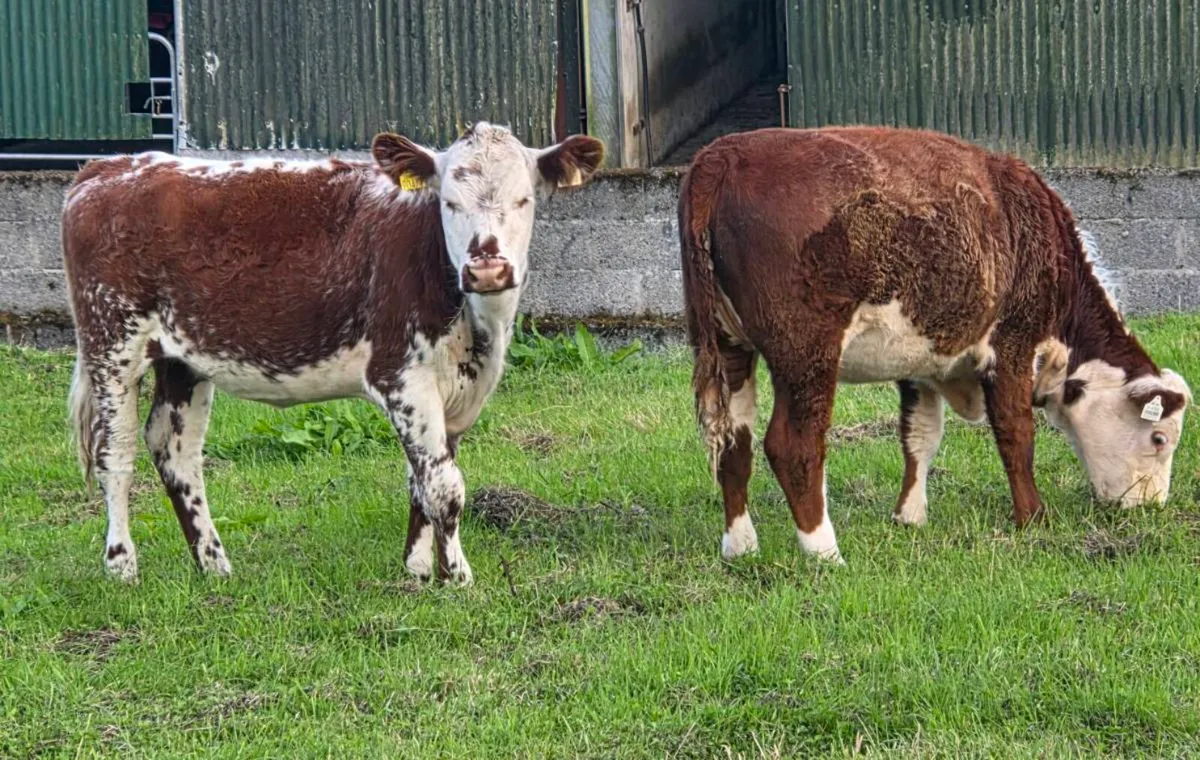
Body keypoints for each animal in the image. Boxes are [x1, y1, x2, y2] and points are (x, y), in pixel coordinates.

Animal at [62, 123, 605, 583]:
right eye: (449, 202)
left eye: (524, 199)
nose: (486, 267)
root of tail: (109, 168)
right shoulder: (401, 376)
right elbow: (445, 488)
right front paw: (458, 578)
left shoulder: (455, 391)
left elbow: (422, 480)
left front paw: (418, 572)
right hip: (112, 344)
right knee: (115, 453)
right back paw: (122, 566)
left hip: (182, 359)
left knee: (175, 450)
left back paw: (214, 566)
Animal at [678, 126, 1191, 564]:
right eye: (1159, 437)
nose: (1152, 505)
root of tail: (722, 155)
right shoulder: (1012, 343)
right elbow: (1016, 433)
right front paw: (1033, 517)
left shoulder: (919, 361)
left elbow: (919, 435)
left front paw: (910, 516)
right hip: (806, 353)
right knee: (792, 445)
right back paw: (825, 552)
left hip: (729, 346)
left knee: (734, 444)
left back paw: (741, 546)